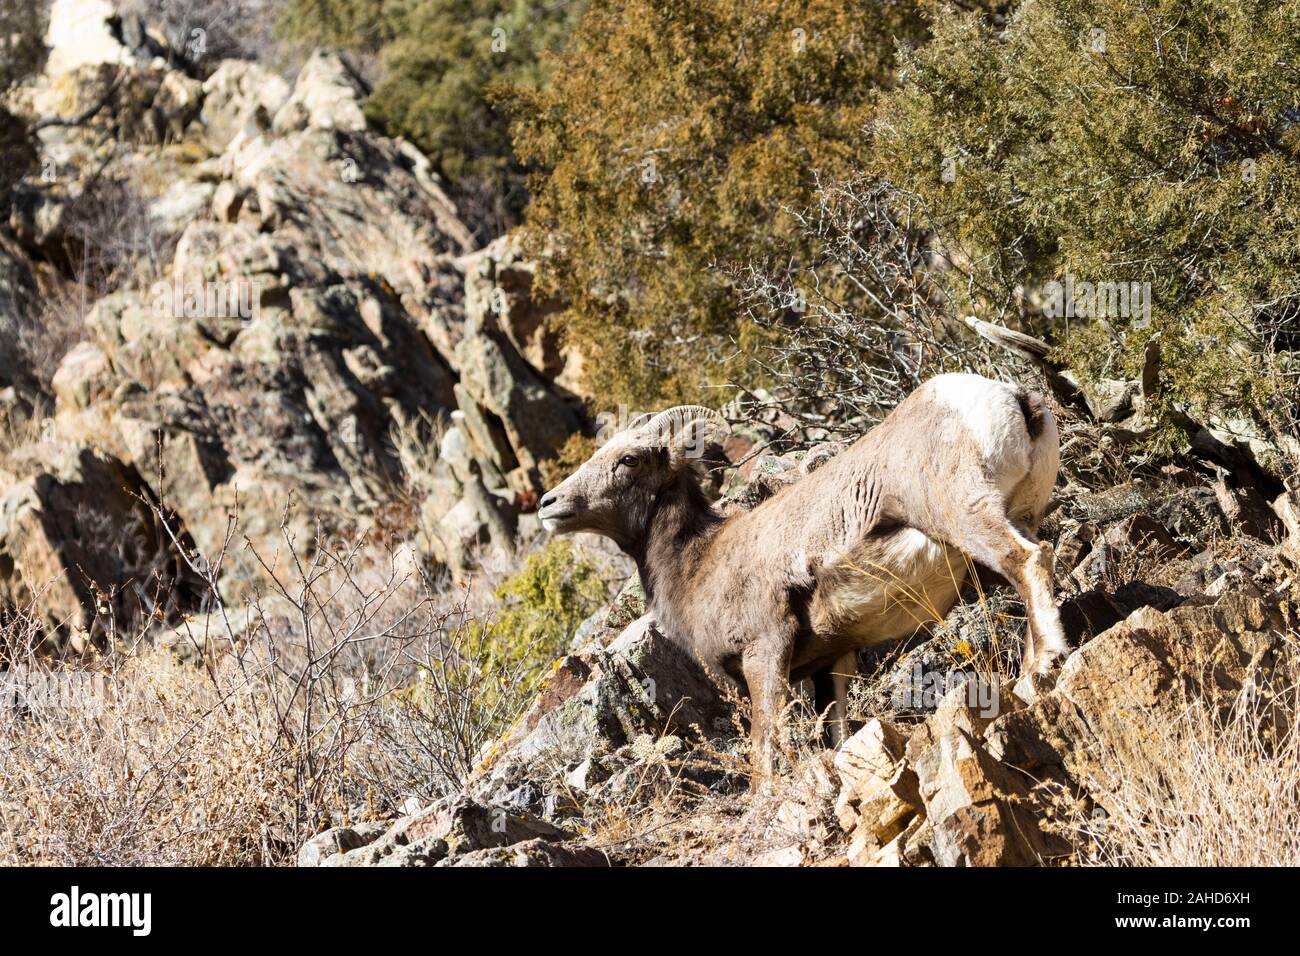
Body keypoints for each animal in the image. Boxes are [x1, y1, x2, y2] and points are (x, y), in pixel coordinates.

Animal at [538, 374, 1066, 780]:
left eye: (629, 459)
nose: (549, 504)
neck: (698, 563)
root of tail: (1011, 398)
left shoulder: (765, 651)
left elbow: (765, 746)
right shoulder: (829, 664)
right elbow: (837, 734)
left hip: (963, 514)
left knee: (1028, 562)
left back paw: (1045, 665)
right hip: (1019, 514)